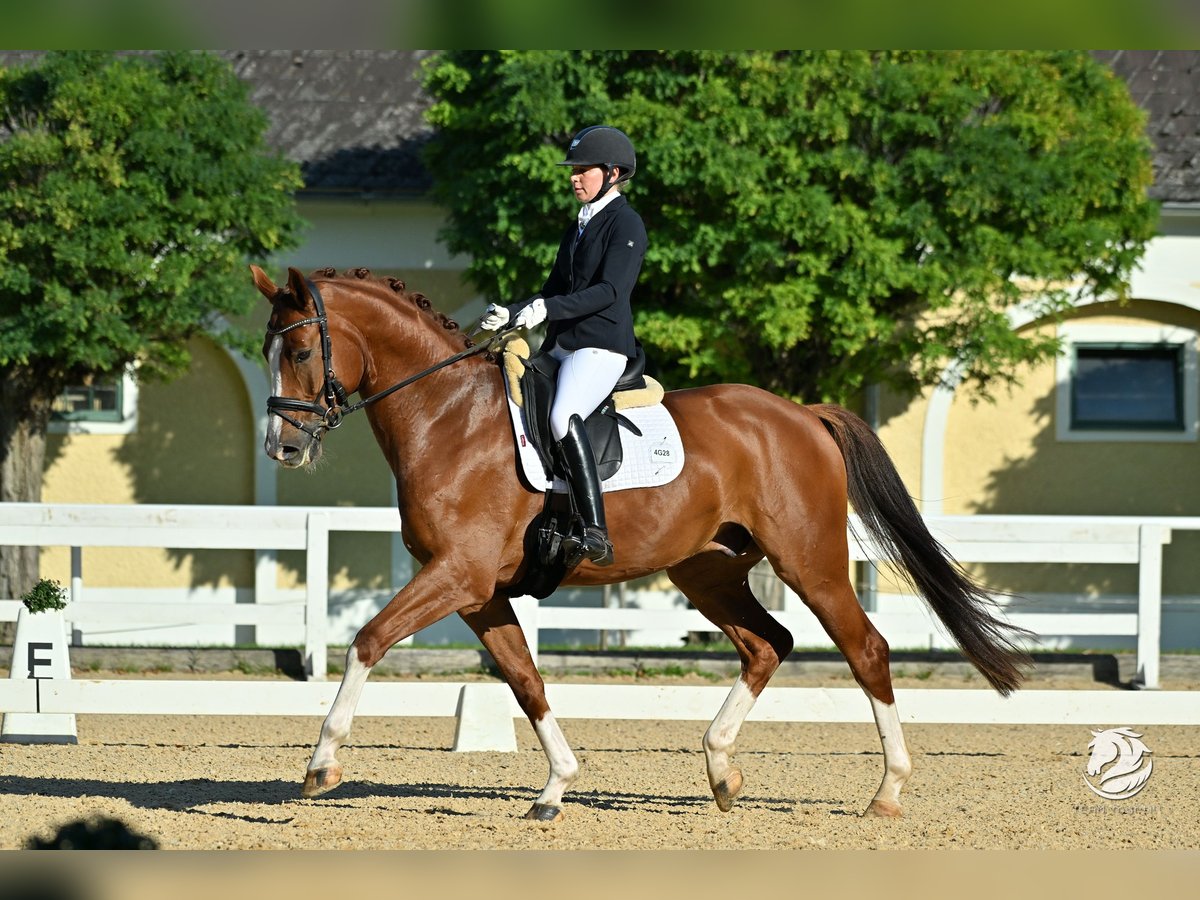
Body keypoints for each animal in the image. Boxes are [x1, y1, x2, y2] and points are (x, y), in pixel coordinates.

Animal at [255, 264, 1032, 820]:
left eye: (302, 349)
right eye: (267, 350)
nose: (282, 448)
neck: (449, 418)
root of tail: (802, 414)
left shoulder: (459, 575)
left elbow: (367, 641)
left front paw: (321, 766)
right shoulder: (477, 592)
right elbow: (524, 680)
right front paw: (556, 788)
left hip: (808, 561)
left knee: (864, 647)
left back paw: (888, 791)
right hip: (707, 572)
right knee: (767, 644)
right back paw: (721, 770)